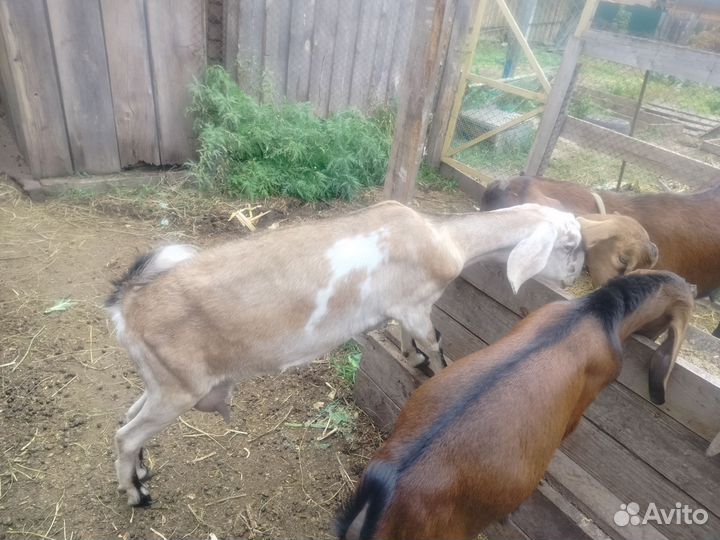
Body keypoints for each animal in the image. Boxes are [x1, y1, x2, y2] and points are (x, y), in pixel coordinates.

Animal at [107, 200, 584, 506]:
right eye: (570, 244)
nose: (578, 274)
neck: (444, 238)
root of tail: (126, 306)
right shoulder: (417, 304)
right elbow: (435, 343)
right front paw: (433, 369)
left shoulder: (401, 309)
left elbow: (407, 336)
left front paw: (410, 357)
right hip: (179, 389)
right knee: (125, 434)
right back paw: (137, 495)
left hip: (162, 380)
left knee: (127, 417)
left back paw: (141, 473)